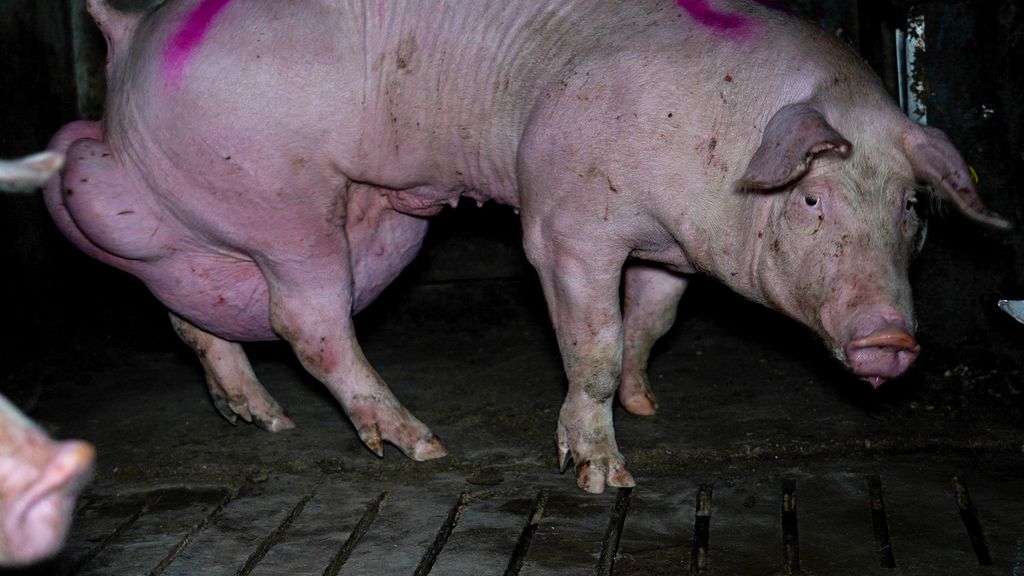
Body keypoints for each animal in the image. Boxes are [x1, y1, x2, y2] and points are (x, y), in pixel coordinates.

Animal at [44, 0, 1007, 493]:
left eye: (912, 209)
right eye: (811, 197)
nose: (892, 340)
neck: (720, 137)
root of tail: (127, 28)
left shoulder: (671, 251)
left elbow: (652, 323)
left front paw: (648, 404)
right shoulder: (567, 223)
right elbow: (593, 342)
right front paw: (603, 475)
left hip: (223, 218)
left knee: (190, 312)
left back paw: (260, 419)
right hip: (286, 203)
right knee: (307, 321)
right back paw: (418, 446)